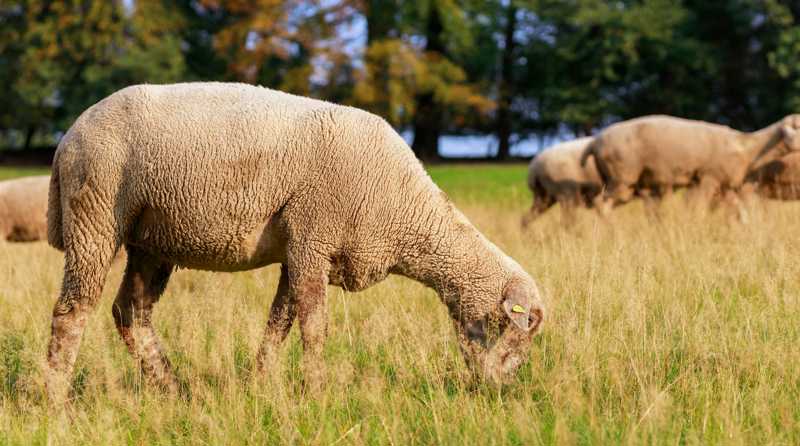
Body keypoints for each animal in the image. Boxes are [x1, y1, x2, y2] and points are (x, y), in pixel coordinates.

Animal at [42, 82, 544, 402]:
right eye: (522, 328)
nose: (501, 391)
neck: (408, 215)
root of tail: (67, 137)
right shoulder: (312, 239)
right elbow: (314, 326)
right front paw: (317, 392)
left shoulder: (299, 250)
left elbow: (278, 323)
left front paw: (262, 384)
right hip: (95, 215)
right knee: (72, 311)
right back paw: (56, 399)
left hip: (152, 240)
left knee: (130, 312)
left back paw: (170, 388)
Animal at [584, 114, 800, 217]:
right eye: (797, 126)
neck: (747, 147)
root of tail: (595, 141)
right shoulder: (709, 178)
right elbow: (698, 210)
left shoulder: (726, 187)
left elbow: (739, 214)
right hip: (622, 177)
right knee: (602, 204)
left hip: (624, 182)